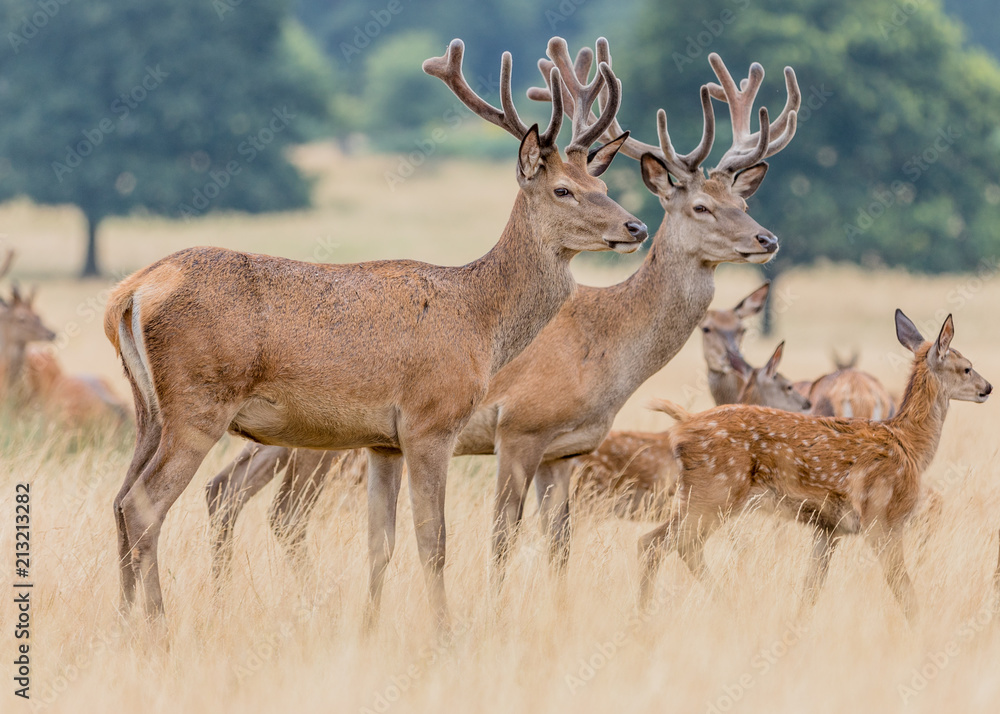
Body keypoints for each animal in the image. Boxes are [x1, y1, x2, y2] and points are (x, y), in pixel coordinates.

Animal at [104, 37, 647, 625]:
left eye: (603, 183)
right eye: (564, 190)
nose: (636, 226)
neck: (481, 322)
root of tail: (131, 294)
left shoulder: (382, 441)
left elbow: (380, 543)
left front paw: (369, 627)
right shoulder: (430, 420)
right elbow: (434, 541)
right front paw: (444, 631)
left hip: (149, 408)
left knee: (119, 500)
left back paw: (124, 621)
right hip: (198, 403)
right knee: (144, 505)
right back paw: (157, 625)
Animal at [637, 310, 991, 622]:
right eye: (966, 368)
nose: (987, 388)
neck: (910, 445)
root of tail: (685, 422)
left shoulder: (828, 527)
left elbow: (811, 587)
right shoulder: (883, 515)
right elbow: (902, 587)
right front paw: (920, 628)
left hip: (702, 496)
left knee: (668, 544)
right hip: (713, 491)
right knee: (660, 543)